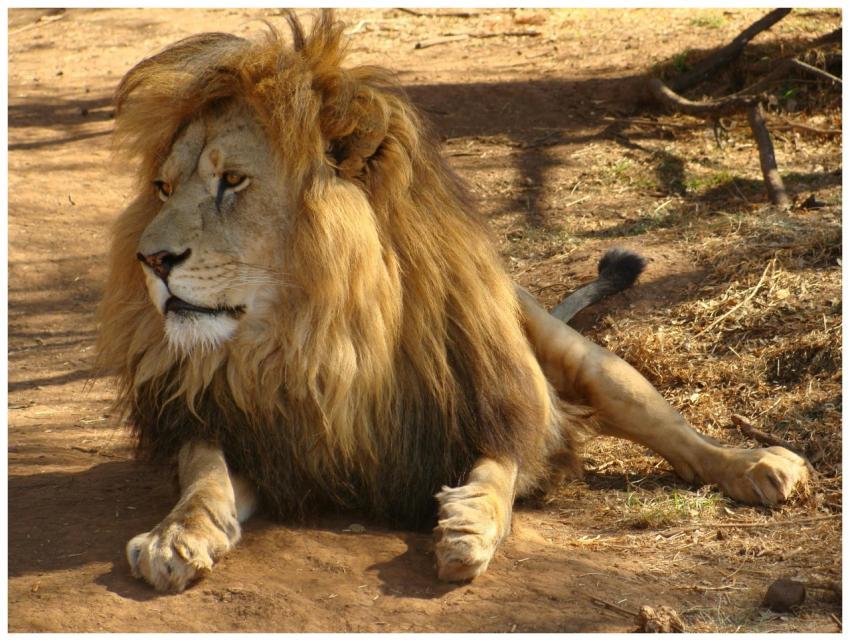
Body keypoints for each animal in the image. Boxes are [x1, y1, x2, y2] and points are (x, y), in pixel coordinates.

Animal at [96, 11, 809, 593]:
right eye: (162, 188)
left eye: (234, 180)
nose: (149, 261)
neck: (317, 338)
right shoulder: (250, 436)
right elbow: (204, 477)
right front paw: (175, 535)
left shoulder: (497, 405)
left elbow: (502, 468)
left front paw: (469, 526)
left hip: (582, 361)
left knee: (673, 430)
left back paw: (760, 465)